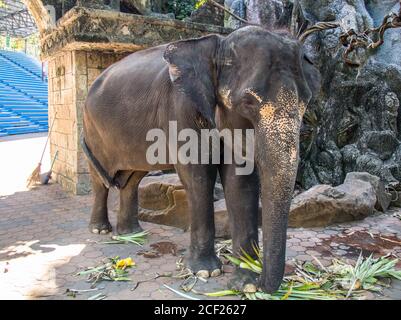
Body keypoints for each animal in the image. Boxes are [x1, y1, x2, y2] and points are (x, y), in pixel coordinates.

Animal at [81, 26, 318, 292]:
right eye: (247, 102)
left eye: (307, 101)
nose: (262, 283)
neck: (217, 45)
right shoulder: (181, 107)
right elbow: (198, 174)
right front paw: (205, 271)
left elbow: (240, 181)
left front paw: (244, 283)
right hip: (91, 129)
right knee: (100, 178)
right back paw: (101, 230)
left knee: (132, 177)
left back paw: (131, 234)